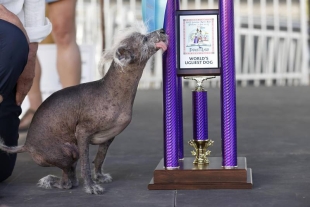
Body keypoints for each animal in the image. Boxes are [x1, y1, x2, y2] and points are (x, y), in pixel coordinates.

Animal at [0, 25, 167, 195]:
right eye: (144, 39)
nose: (162, 30)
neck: (111, 91)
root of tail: (26, 145)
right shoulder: (82, 133)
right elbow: (86, 165)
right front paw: (91, 186)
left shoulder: (108, 138)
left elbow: (99, 159)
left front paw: (99, 177)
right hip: (68, 152)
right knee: (67, 183)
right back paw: (50, 180)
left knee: (70, 178)